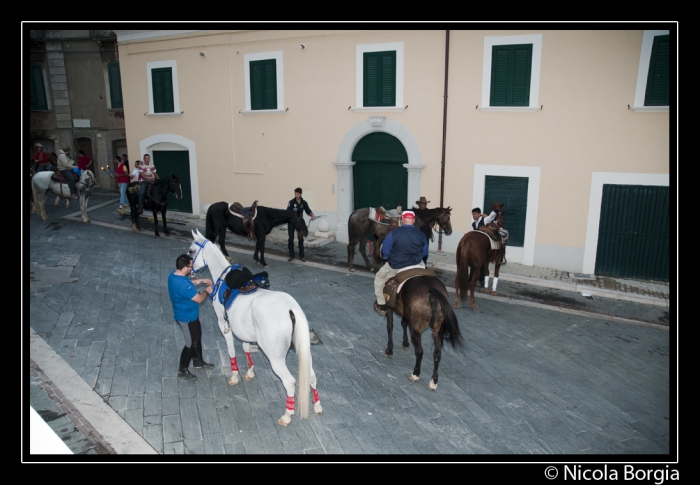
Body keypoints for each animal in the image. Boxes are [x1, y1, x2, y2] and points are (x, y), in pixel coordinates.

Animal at [189, 229, 326, 426]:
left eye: (191, 251)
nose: (190, 272)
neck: (224, 281)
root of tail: (291, 308)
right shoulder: (244, 332)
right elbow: (246, 349)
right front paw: (249, 372)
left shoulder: (224, 326)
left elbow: (231, 351)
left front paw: (235, 376)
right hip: (303, 351)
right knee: (312, 377)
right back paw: (317, 406)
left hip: (276, 358)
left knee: (290, 382)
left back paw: (287, 414)